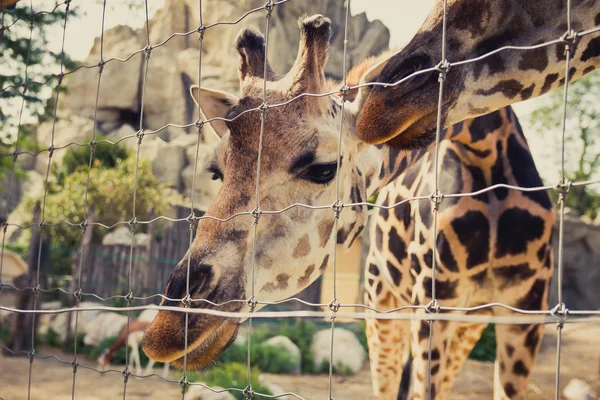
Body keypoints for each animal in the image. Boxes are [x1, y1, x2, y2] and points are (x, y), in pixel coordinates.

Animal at [143, 14, 556, 398]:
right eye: (217, 172)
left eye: (323, 168)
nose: (168, 326)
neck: (485, 158)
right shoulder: (432, 305)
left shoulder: (524, 313)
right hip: (387, 306)